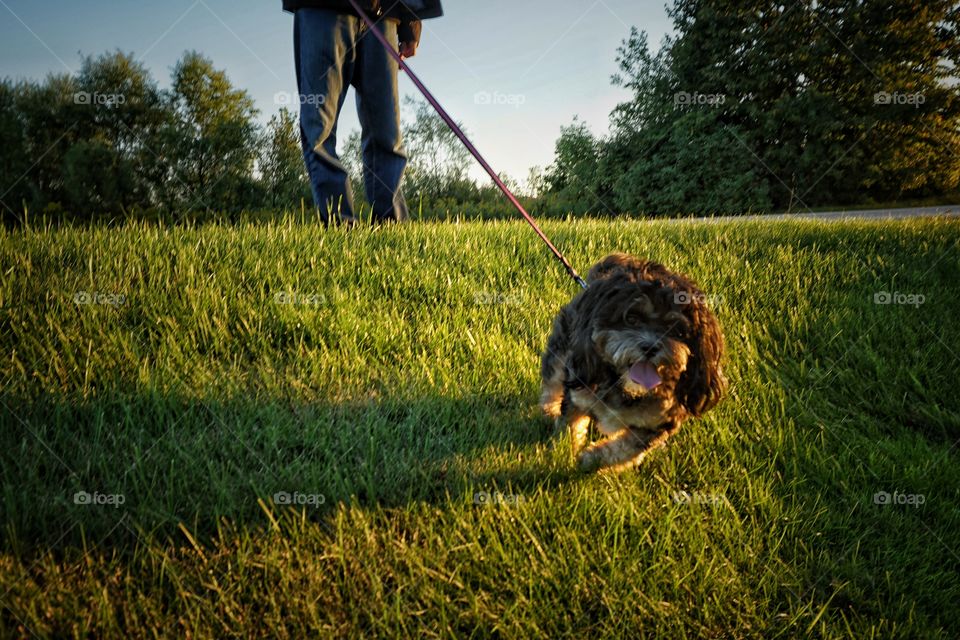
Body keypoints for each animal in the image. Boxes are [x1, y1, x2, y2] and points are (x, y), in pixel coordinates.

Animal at [540, 254, 728, 470]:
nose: (650, 347)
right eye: (631, 318)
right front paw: (562, 453)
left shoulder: (659, 422)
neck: (626, 388)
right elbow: (570, 425)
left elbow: (626, 448)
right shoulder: (579, 392)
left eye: (676, 329)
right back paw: (548, 410)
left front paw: (591, 458)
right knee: (552, 378)